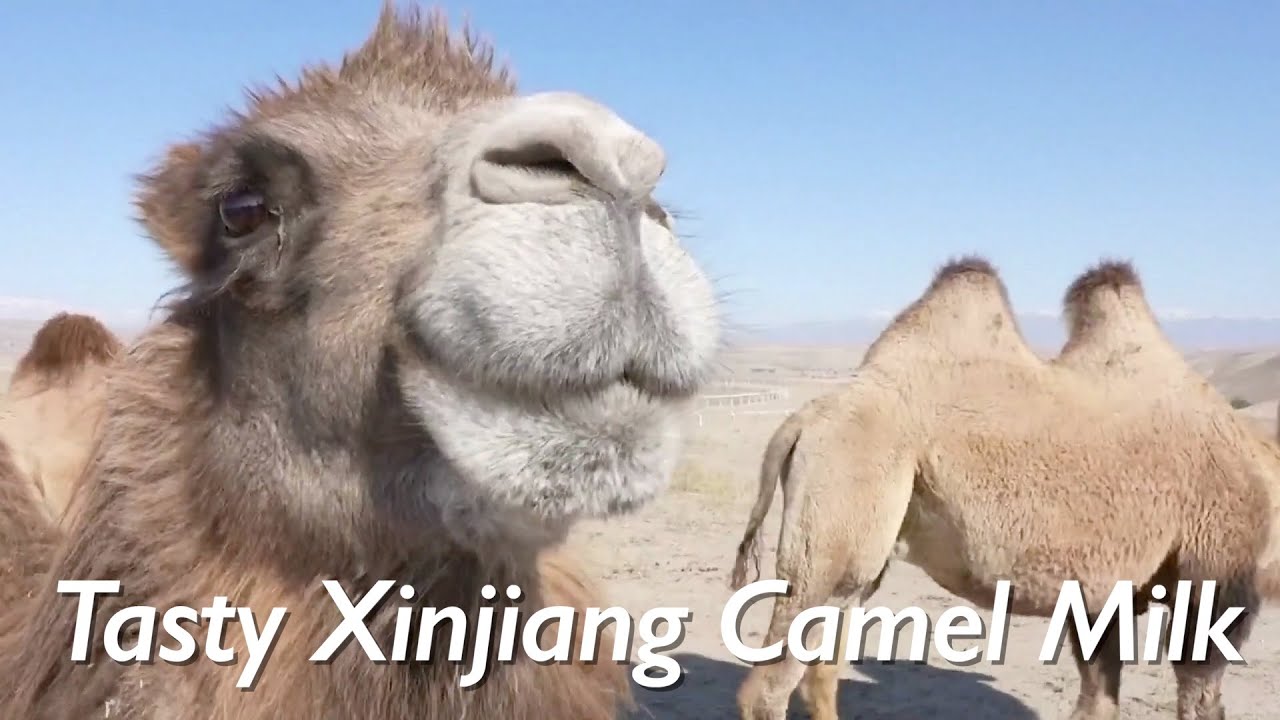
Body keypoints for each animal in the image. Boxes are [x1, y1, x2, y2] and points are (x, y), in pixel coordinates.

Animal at [729, 257, 1272, 720]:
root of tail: (804, 419)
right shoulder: (1214, 570)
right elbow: (1199, 696)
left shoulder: (1105, 591)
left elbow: (1100, 693)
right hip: (840, 503)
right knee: (771, 682)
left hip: (862, 549)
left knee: (822, 666)